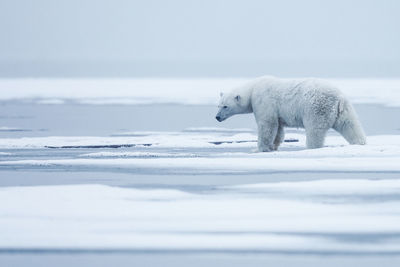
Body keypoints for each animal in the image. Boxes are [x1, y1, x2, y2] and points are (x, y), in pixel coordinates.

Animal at [216, 76, 366, 152]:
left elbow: (267, 125)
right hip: (343, 108)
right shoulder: (276, 112)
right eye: (218, 105)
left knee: (314, 130)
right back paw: (360, 143)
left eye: (225, 106)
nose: (217, 117)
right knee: (350, 125)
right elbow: (278, 129)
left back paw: (311, 147)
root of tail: (338, 97)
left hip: (316, 107)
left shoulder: (263, 102)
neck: (253, 89)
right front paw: (273, 146)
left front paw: (259, 149)